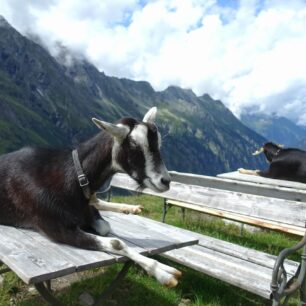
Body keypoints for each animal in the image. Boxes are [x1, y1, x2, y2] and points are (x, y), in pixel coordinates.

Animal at [0, 107, 182, 286]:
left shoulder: (87, 209)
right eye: (134, 146)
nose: (165, 181)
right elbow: (116, 242)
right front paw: (162, 272)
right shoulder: (56, 227)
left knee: (98, 201)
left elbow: (105, 227)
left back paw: (131, 208)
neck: (70, 178)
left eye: (158, 143)